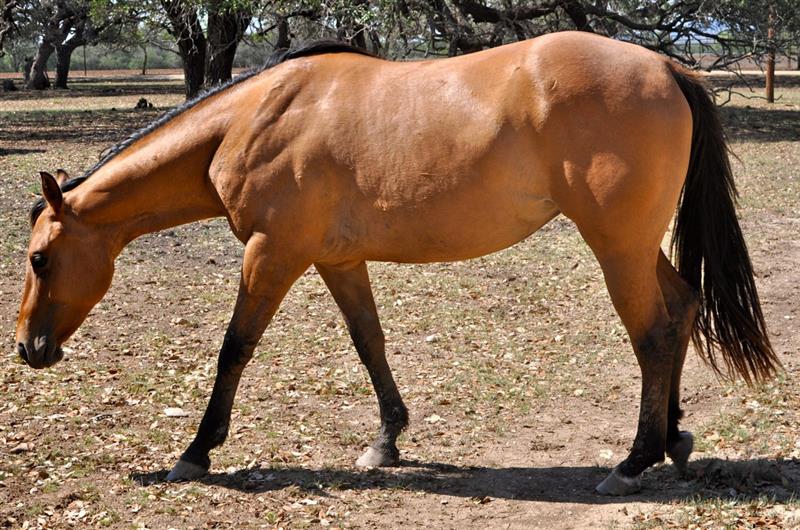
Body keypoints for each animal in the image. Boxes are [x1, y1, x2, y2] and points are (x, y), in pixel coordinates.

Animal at [14, 32, 776, 496]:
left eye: (40, 259)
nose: (28, 348)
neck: (253, 118)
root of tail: (665, 67)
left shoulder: (272, 254)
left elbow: (234, 349)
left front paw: (197, 452)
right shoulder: (337, 260)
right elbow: (369, 344)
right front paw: (387, 442)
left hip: (616, 246)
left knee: (652, 333)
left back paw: (635, 459)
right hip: (638, 245)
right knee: (681, 310)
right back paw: (674, 439)